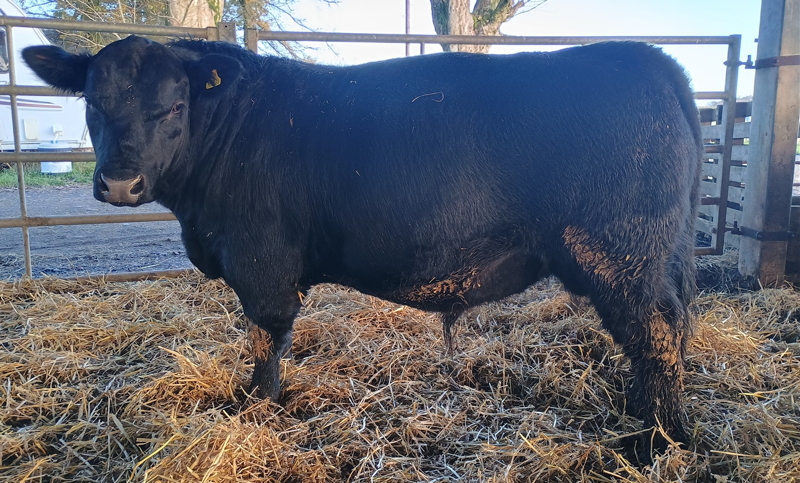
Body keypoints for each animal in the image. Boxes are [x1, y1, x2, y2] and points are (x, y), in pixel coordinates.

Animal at [23, 36, 702, 452]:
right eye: (92, 102)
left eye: (174, 106)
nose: (120, 182)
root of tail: (642, 57)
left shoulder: (262, 262)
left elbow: (266, 339)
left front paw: (255, 409)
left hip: (619, 254)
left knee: (656, 334)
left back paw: (656, 440)